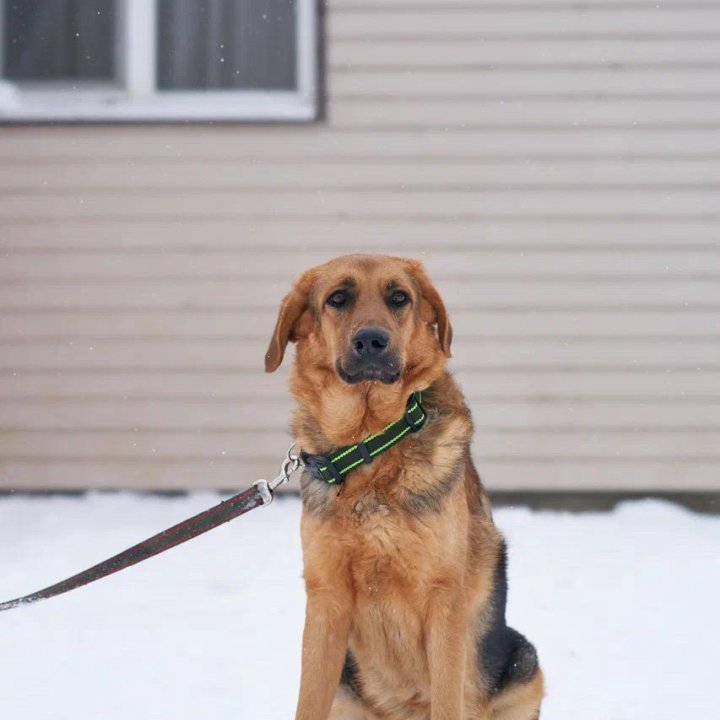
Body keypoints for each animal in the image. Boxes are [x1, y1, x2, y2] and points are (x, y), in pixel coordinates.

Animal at [268, 258, 544, 720]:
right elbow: (307, 702)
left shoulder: (443, 603)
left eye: (399, 297)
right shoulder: (326, 600)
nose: (371, 341)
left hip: (525, 668)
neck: (371, 444)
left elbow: (448, 701)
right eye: (337, 298)